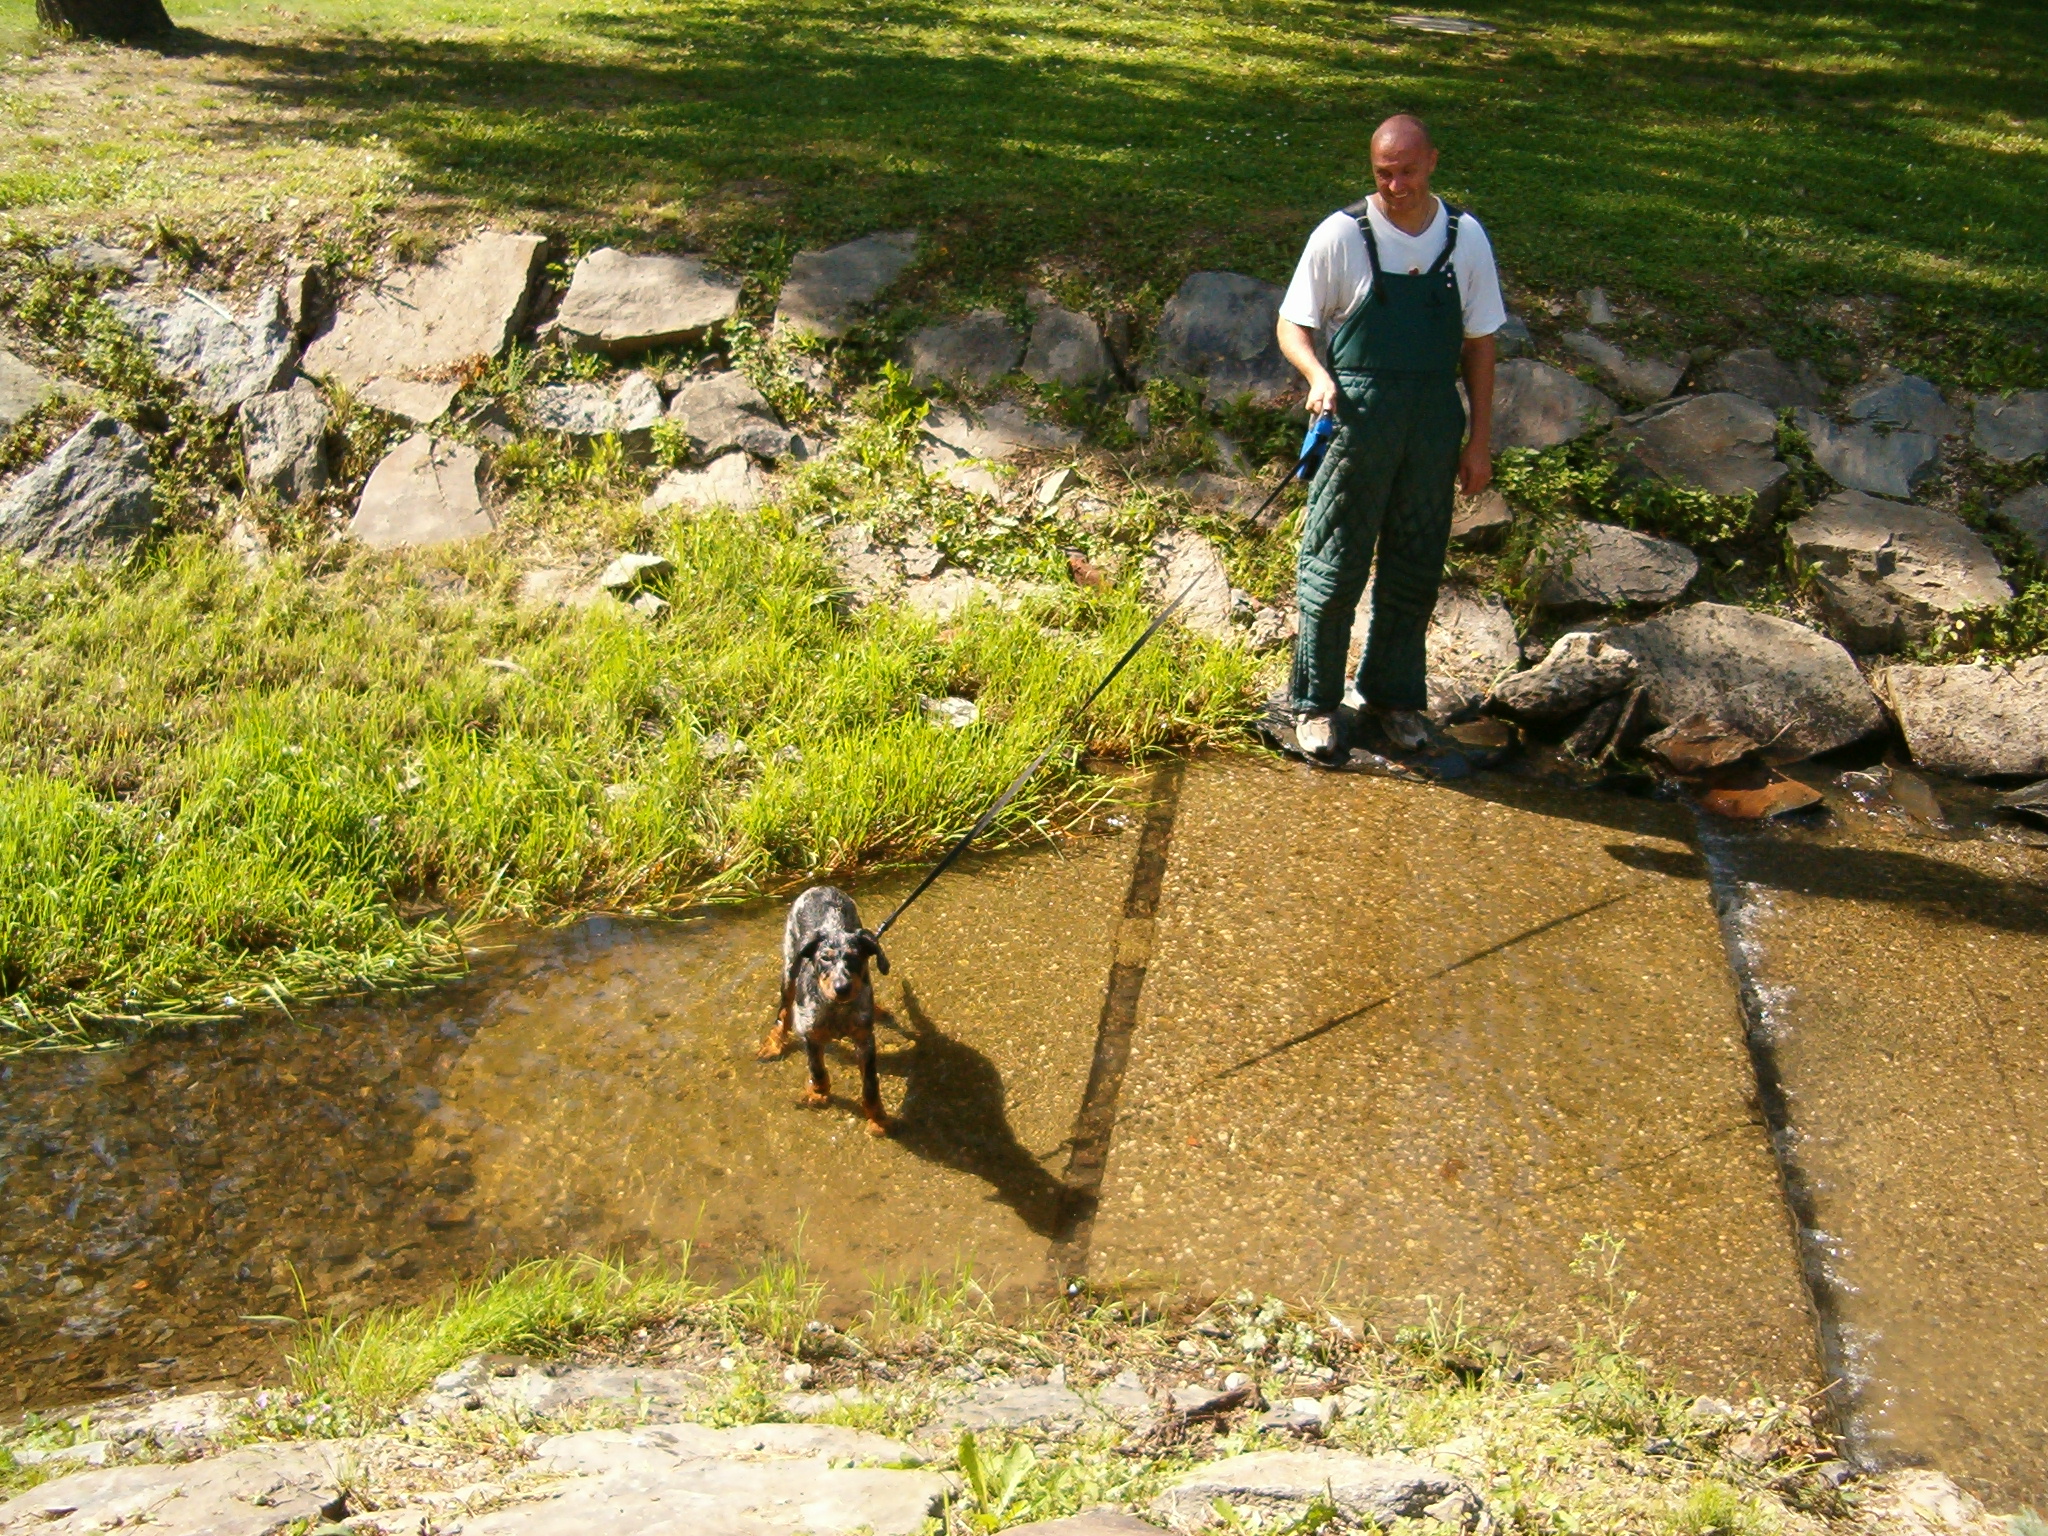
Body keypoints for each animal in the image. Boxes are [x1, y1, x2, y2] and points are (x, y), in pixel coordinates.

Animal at [757, 884, 892, 1138]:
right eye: (825, 958)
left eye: (855, 957)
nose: (842, 987)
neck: (837, 1009)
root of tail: (821, 886)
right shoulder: (811, 1035)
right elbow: (817, 1069)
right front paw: (818, 1094)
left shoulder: (865, 1040)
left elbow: (870, 1084)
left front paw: (877, 1117)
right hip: (789, 966)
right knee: (783, 1012)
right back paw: (774, 1044)